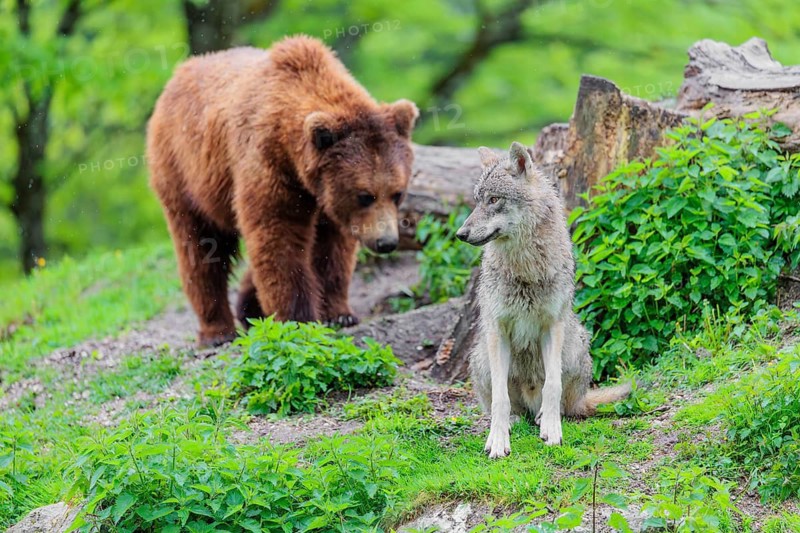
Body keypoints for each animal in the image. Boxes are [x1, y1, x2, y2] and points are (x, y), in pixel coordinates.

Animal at [146, 36, 419, 346]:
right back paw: (217, 330)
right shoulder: (269, 165)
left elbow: (332, 249)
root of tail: (176, 77)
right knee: (202, 250)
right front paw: (298, 319)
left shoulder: (327, 196)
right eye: (365, 196)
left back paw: (248, 306)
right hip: (184, 173)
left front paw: (339, 314)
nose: (387, 242)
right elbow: (278, 238)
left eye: (397, 193)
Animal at [456, 142, 631, 457]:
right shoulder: (497, 329)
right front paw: (498, 440)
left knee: (562, 402)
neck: (526, 268)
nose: (460, 233)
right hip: (480, 356)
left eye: (493, 200)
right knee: (508, 405)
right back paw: (514, 420)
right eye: (477, 202)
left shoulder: (553, 326)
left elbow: (552, 386)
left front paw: (552, 430)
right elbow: (500, 398)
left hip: (574, 346)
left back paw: (543, 416)